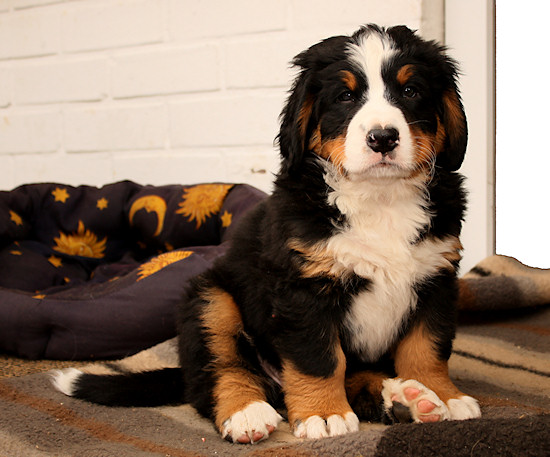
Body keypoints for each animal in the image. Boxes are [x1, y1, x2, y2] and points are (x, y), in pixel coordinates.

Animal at [53, 24, 481, 444]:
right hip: (210, 298)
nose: (382, 137)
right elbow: (319, 358)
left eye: (410, 91)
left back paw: (407, 398)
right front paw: (324, 414)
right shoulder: (303, 290)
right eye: (345, 96)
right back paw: (247, 411)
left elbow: (426, 348)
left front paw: (443, 395)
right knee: (220, 370)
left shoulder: (436, 278)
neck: (380, 198)